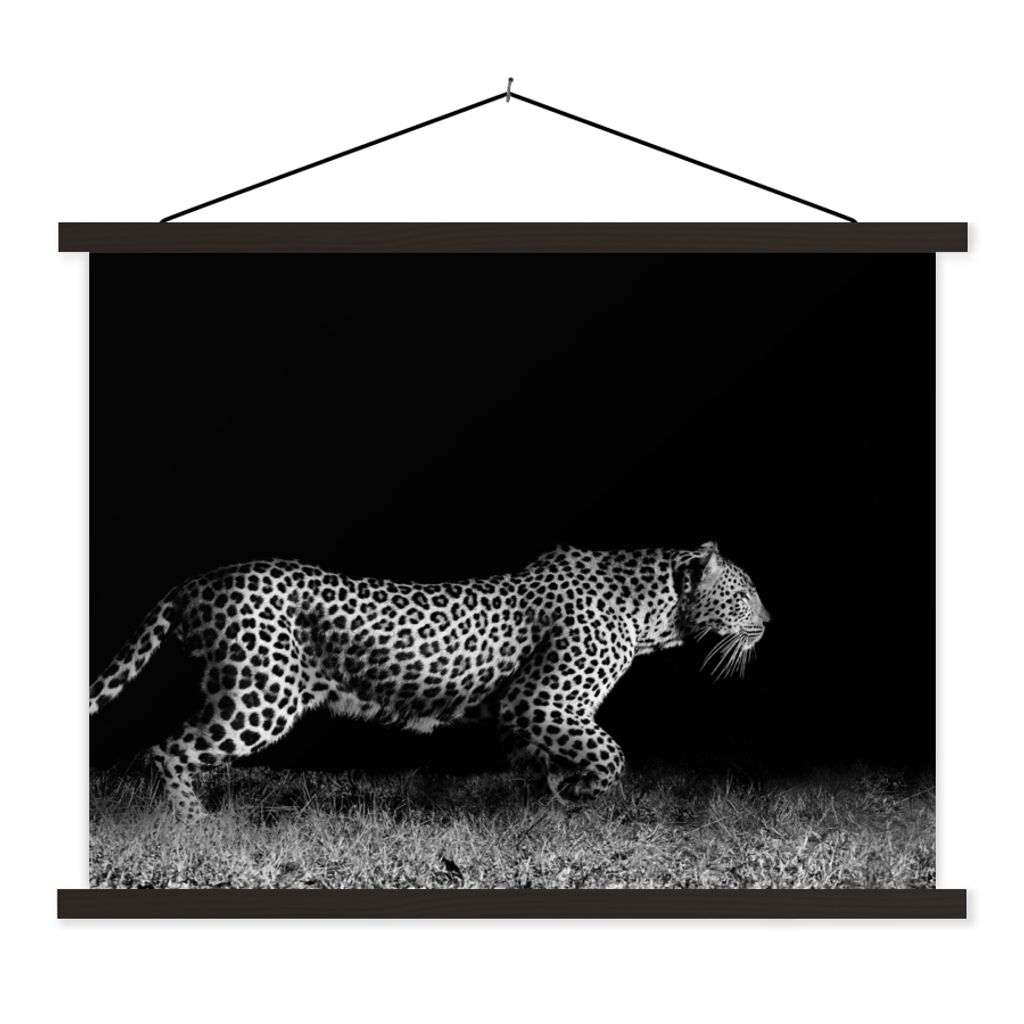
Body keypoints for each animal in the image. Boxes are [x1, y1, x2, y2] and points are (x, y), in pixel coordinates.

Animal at [89, 541, 769, 820]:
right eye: (744, 594)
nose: (769, 622)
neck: (653, 611)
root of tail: (198, 579)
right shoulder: (542, 700)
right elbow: (610, 752)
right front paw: (580, 794)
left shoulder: (521, 715)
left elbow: (540, 763)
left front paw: (548, 804)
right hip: (261, 694)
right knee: (167, 749)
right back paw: (195, 824)